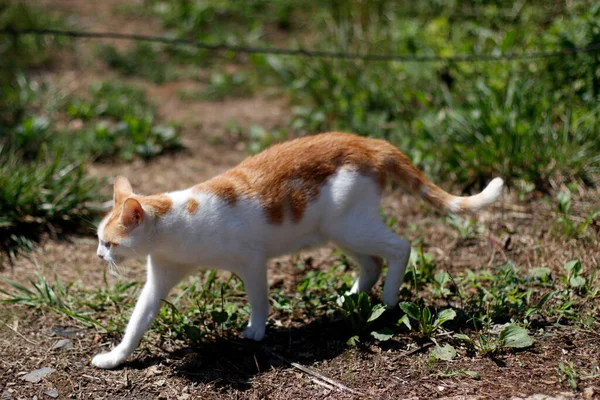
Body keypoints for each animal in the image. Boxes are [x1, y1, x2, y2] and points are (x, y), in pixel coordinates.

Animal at [91, 132, 502, 368]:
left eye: (109, 242)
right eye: (97, 239)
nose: (98, 256)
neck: (178, 227)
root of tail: (368, 141)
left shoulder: (252, 261)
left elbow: (259, 299)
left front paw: (256, 331)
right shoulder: (160, 277)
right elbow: (137, 323)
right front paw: (116, 357)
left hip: (350, 227)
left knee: (400, 247)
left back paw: (388, 300)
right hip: (338, 233)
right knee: (371, 262)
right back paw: (350, 299)